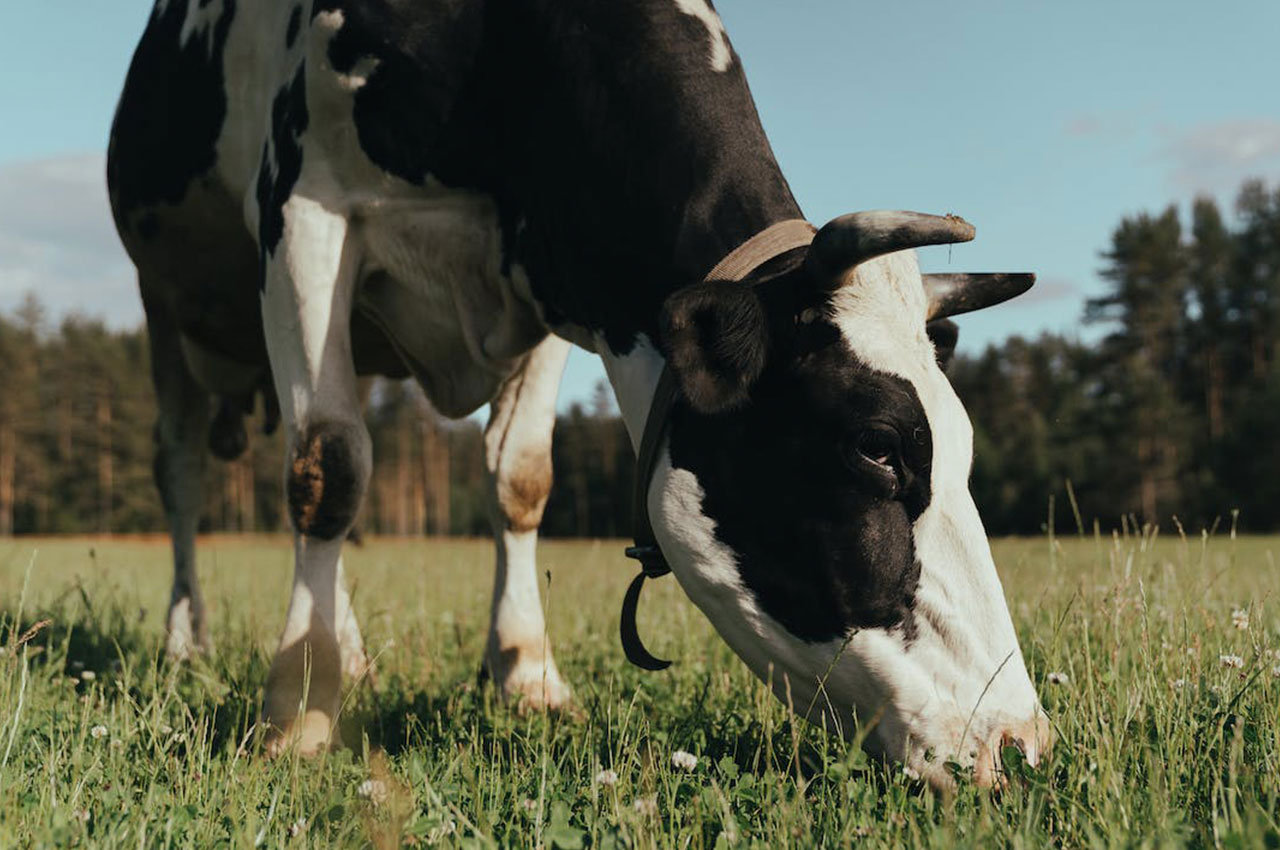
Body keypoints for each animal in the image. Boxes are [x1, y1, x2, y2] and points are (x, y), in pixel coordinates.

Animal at [107, 0, 1049, 788]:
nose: (1018, 741)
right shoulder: (304, 210)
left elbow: (520, 480)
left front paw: (528, 676)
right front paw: (299, 710)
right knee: (189, 472)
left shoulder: (555, 280)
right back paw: (188, 643)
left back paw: (352, 650)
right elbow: (326, 468)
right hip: (164, 304)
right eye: (876, 446)